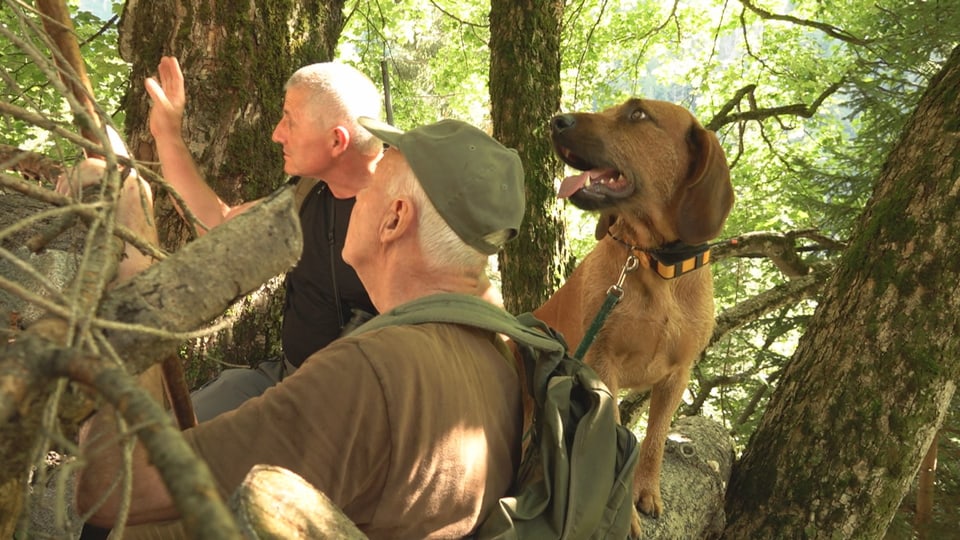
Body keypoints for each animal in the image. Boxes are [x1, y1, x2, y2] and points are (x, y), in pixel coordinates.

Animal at [532, 97, 736, 532]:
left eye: (637, 113)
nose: (556, 121)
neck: (655, 264)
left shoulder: (677, 375)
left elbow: (656, 439)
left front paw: (646, 491)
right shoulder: (601, 364)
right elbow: (611, 441)